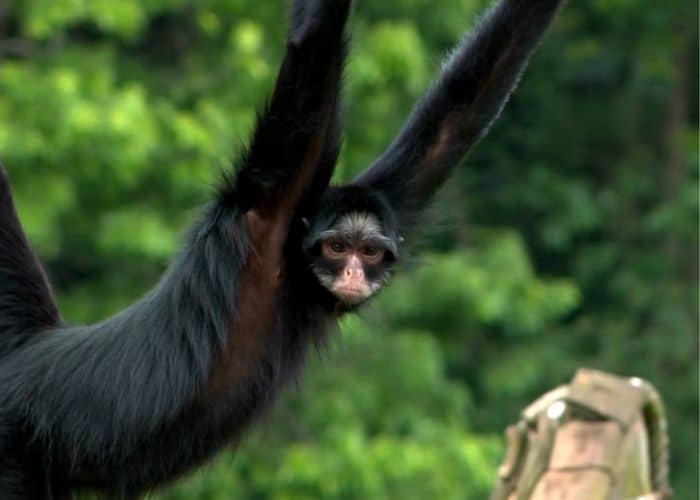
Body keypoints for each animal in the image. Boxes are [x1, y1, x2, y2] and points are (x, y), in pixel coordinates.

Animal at [0, 0, 564, 498]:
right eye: (337, 248)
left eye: (370, 252)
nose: (353, 275)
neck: (291, 270)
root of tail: (28, 355)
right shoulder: (268, 206)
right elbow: (311, 47)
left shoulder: (389, 200)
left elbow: (458, 113)